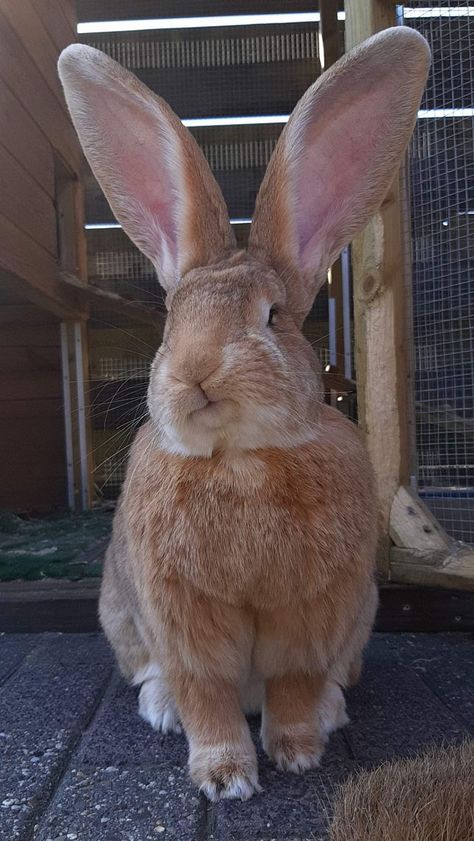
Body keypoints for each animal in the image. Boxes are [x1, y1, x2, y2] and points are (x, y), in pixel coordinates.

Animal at [58, 26, 430, 800]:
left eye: (273, 317)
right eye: (172, 319)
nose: (197, 372)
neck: (238, 459)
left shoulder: (311, 614)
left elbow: (293, 682)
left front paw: (297, 752)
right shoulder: (182, 618)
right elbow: (206, 693)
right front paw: (226, 777)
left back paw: (332, 712)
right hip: (122, 615)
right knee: (155, 676)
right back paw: (161, 707)